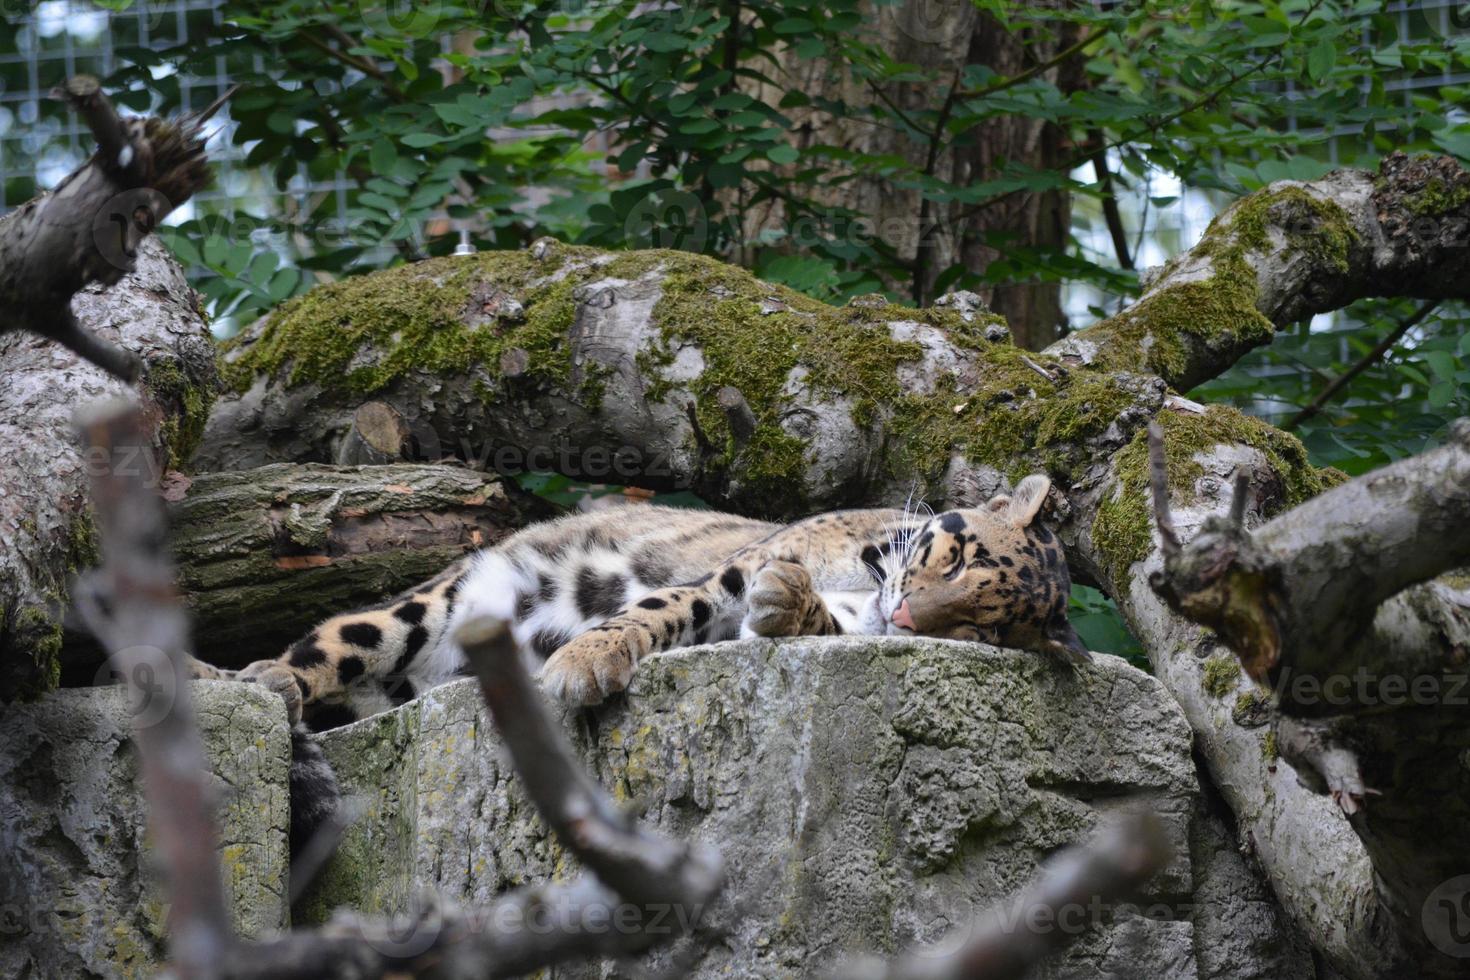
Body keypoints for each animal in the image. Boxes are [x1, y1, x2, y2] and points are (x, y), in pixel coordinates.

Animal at [186, 476, 1093, 852]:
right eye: (955, 557)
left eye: (979, 631)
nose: (905, 618)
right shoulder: (727, 575)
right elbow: (665, 607)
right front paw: (586, 657)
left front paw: (790, 605)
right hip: (429, 608)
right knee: (310, 656)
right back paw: (243, 683)